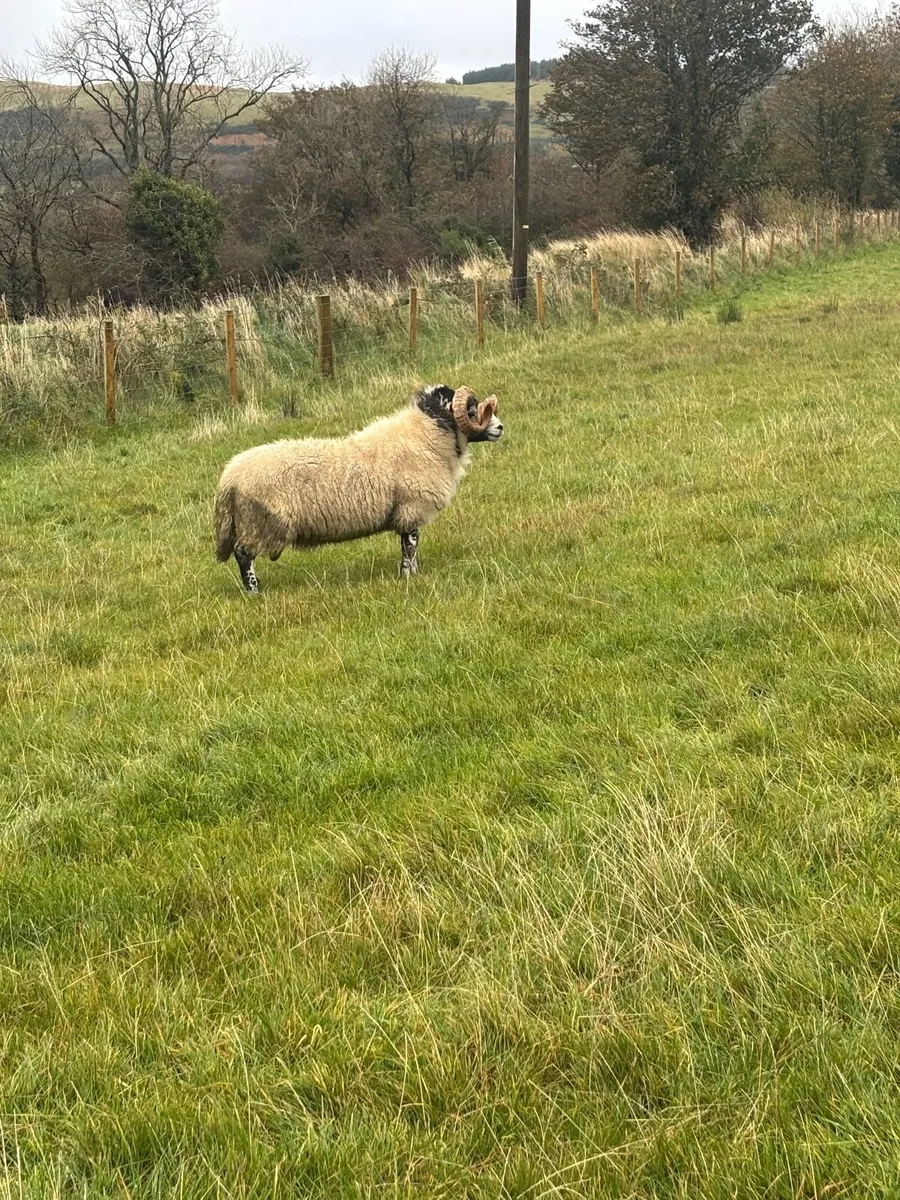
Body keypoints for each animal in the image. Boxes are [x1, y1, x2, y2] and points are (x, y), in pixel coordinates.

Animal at [214, 384, 503, 592]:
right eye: (472, 410)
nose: (500, 427)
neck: (425, 436)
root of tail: (229, 477)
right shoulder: (410, 509)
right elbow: (410, 548)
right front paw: (409, 577)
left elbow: (408, 548)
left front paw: (411, 575)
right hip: (259, 524)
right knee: (243, 555)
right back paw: (254, 591)